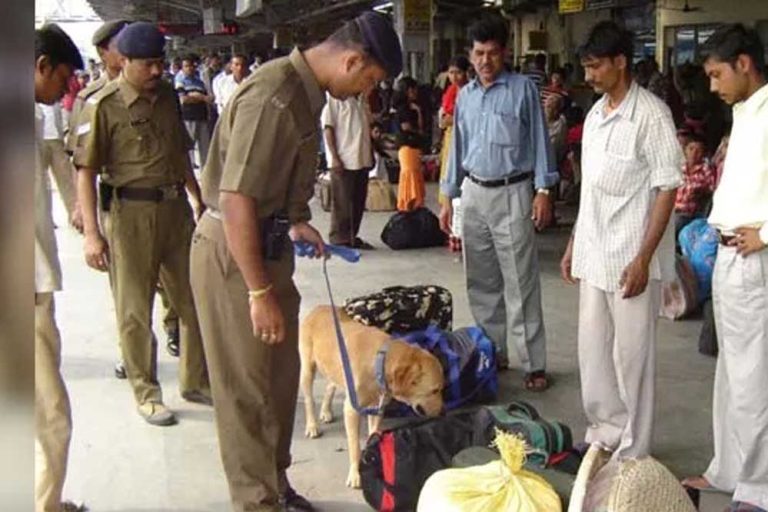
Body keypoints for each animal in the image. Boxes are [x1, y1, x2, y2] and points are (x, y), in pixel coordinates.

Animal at [300, 304, 444, 488]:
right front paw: (355, 474)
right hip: (307, 369)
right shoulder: (352, 410)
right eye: (435, 390)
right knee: (309, 400)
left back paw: (325, 411)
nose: (442, 411)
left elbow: (373, 433)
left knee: (330, 385)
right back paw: (312, 426)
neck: (380, 361)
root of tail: (319, 307)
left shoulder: (377, 407)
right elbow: (354, 446)